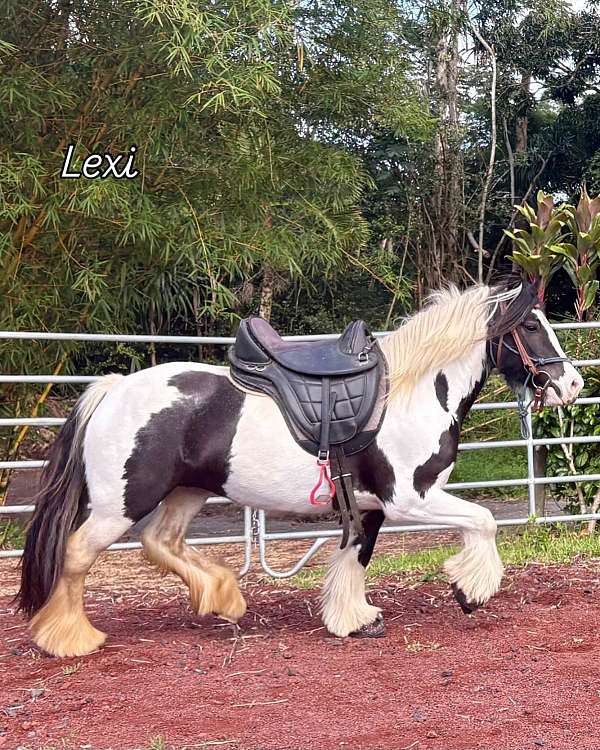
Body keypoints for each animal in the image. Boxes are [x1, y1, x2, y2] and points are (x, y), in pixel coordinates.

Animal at [17, 278, 584, 657]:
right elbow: (483, 522)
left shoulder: (369, 506)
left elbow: (356, 557)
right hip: (123, 501)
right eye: (531, 325)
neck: (412, 394)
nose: (572, 384)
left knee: (162, 542)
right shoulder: (411, 498)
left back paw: (225, 598)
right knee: (78, 553)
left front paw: (353, 620)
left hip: (187, 491)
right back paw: (69, 638)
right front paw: (470, 591)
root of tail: (114, 390)